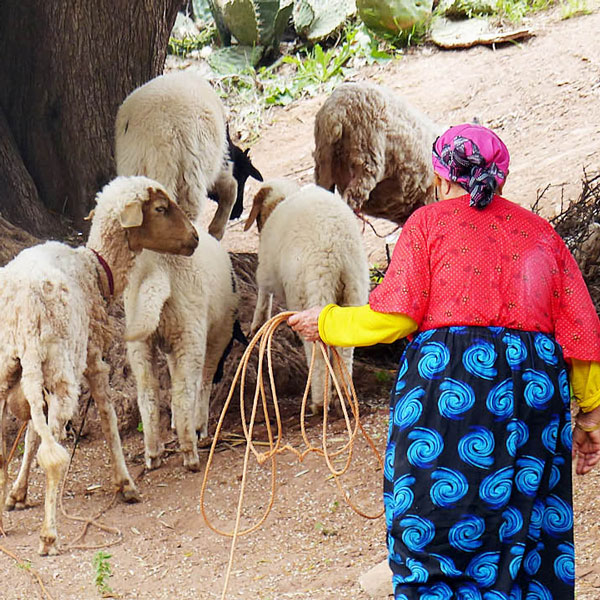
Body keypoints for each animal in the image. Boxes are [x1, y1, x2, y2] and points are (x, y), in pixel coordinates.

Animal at [0, 172, 200, 552]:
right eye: (161, 208)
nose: (195, 238)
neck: (97, 267)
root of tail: (25, 309)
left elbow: (31, 435)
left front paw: (17, 494)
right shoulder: (93, 358)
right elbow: (108, 418)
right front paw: (125, 484)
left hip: (12, 367)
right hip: (62, 370)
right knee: (54, 456)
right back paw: (49, 534)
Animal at [113, 70, 262, 239]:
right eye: (244, 177)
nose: (237, 213)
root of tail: (157, 134)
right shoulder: (219, 162)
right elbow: (231, 189)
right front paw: (216, 231)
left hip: (136, 167)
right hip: (189, 175)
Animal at [123, 227, 239, 472]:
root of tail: (158, 274)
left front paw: (176, 422)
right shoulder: (219, 334)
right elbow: (204, 379)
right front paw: (199, 424)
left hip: (140, 338)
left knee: (148, 393)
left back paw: (153, 454)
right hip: (188, 328)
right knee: (184, 390)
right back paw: (190, 452)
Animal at [245, 178, 370, 412]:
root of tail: (335, 250)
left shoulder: (265, 270)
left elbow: (264, 296)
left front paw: (256, 325)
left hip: (311, 288)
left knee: (317, 348)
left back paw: (319, 401)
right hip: (354, 287)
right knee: (345, 346)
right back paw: (343, 396)